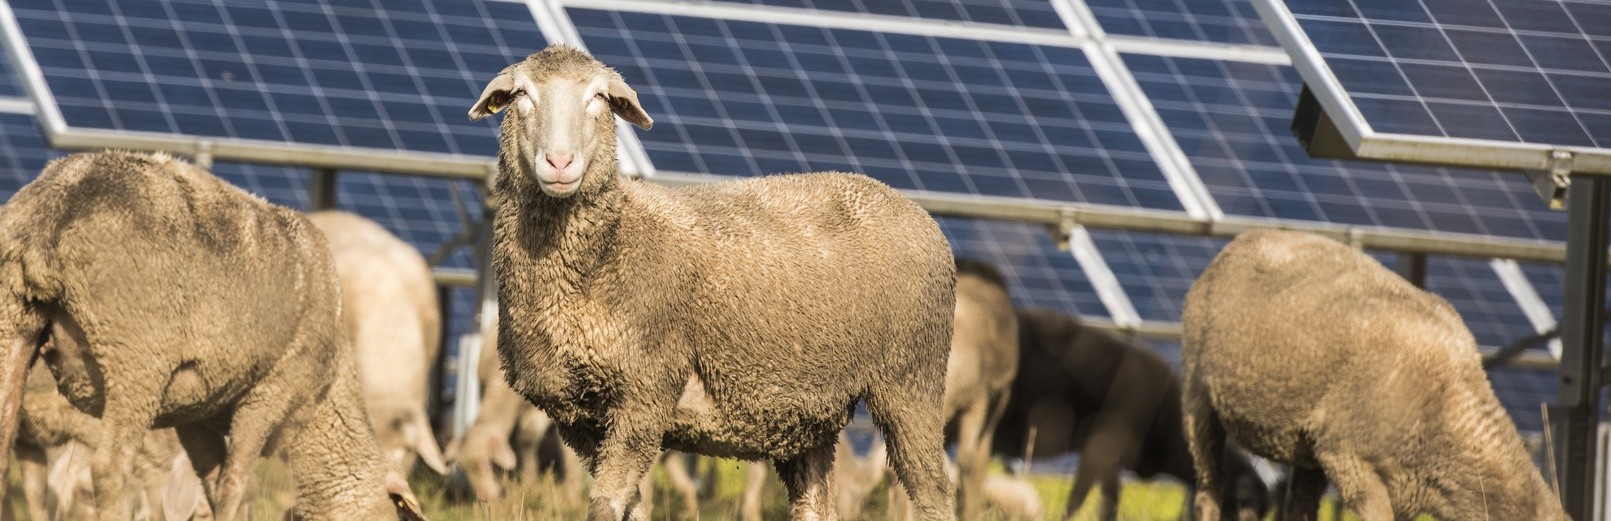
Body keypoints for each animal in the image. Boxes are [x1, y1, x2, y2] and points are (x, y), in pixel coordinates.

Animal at [0, 150, 428, 521]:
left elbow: (211, 482)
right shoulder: (271, 392)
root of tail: (58, 204)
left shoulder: (194, 413)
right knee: (109, 468)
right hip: (135, 355)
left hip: (14, 320)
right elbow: (234, 484)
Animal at [470, 44, 960, 521]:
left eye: (598, 98)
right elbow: (630, 508)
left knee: (934, 495)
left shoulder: (645, 393)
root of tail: (913, 209)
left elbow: (604, 507)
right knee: (816, 506)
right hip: (811, 408)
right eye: (522, 95)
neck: (609, 247)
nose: (559, 161)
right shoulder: (578, 418)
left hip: (911, 378)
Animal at [1179, 232, 1565, 521]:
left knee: (1298, 509)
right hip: (1198, 400)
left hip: (1306, 445)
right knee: (1208, 492)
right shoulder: (1348, 459)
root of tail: (1245, 238)